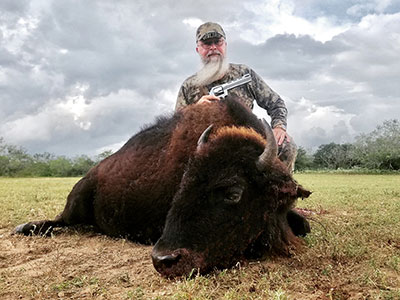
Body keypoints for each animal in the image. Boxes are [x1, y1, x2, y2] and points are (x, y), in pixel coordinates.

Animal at [14, 96, 310, 276]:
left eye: (233, 192)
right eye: (182, 183)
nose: (163, 261)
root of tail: (92, 173)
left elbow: (304, 225)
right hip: (76, 203)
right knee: (61, 220)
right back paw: (26, 227)